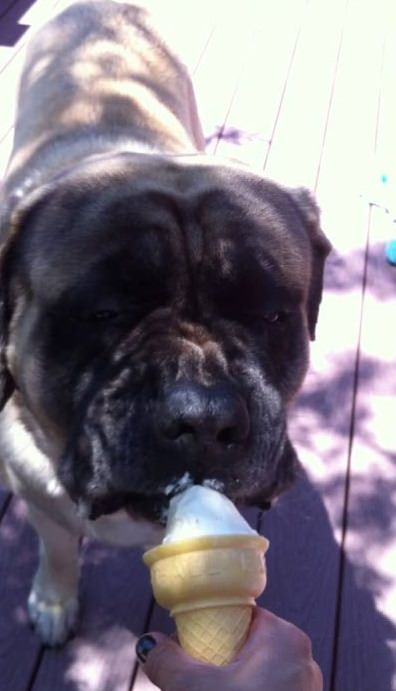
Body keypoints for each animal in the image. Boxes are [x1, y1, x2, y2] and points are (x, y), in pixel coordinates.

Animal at [0, 0, 330, 648]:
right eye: (103, 314)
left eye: (271, 315)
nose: (203, 416)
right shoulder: (35, 493)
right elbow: (58, 550)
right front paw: (53, 600)